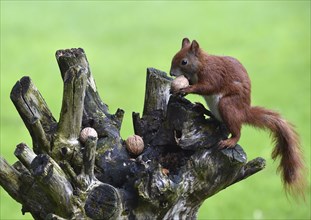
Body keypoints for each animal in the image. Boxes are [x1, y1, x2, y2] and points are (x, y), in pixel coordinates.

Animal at [171, 37, 308, 197]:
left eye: (184, 62)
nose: (171, 73)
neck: (202, 64)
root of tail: (243, 112)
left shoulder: (213, 75)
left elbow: (207, 87)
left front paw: (187, 89)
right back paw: (202, 108)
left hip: (227, 106)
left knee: (237, 131)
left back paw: (230, 141)